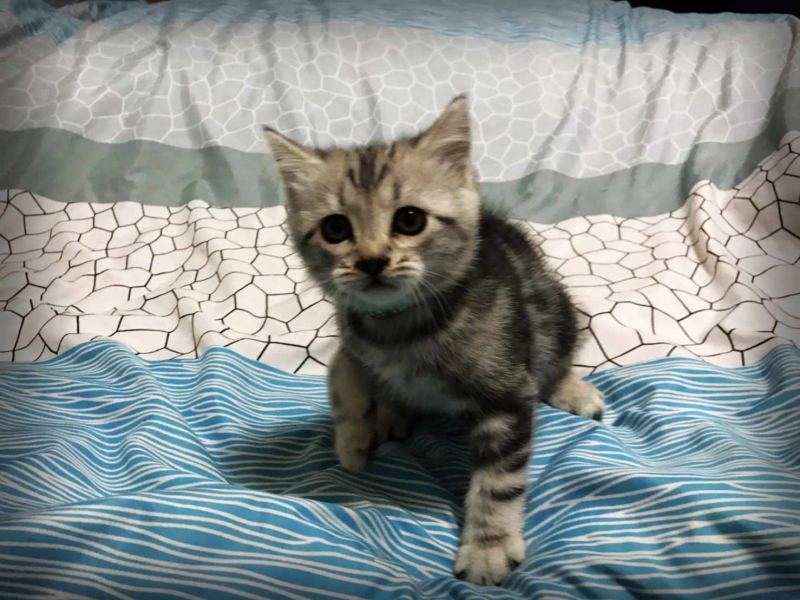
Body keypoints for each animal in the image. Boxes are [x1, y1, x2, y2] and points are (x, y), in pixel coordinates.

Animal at [263, 94, 605, 586]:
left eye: (410, 219)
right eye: (335, 229)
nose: (371, 261)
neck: (400, 331)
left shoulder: (506, 392)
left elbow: (497, 483)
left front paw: (488, 548)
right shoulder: (354, 331)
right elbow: (341, 371)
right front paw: (352, 441)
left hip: (555, 315)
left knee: (554, 356)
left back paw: (573, 390)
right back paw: (392, 413)